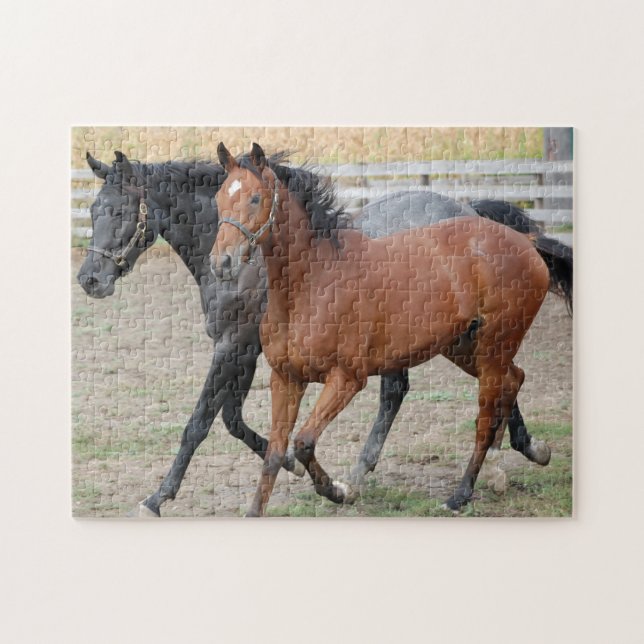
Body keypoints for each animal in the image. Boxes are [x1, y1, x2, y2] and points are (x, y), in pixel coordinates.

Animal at [77, 149, 572, 516]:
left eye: (119, 209)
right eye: (93, 209)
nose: (89, 280)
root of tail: (473, 212)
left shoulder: (236, 347)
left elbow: (202, 423)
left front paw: (157, 498)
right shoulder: (253, 354)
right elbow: (235, 421)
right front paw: (292, 468)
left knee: (465, 386)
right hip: (455, 341)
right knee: (496, 380)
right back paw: (517, 452)